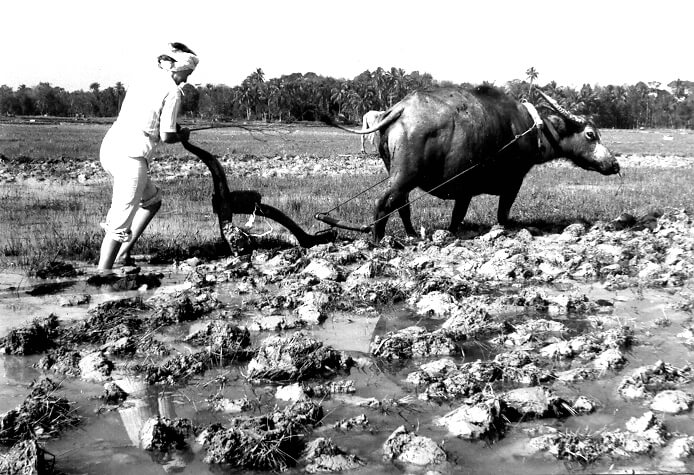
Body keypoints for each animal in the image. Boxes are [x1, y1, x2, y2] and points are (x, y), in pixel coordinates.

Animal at [354, 86, 620, 242]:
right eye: (590, 134)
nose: (615, 164)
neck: (533, 129)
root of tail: (400, 109)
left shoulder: (465, 189)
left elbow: (457, 216)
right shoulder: (513, 182)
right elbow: (502, 213)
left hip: (399, 176)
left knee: (402, 206)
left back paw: (411, 235)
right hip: (404, 176)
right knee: (383, 204)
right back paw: (378, 242)